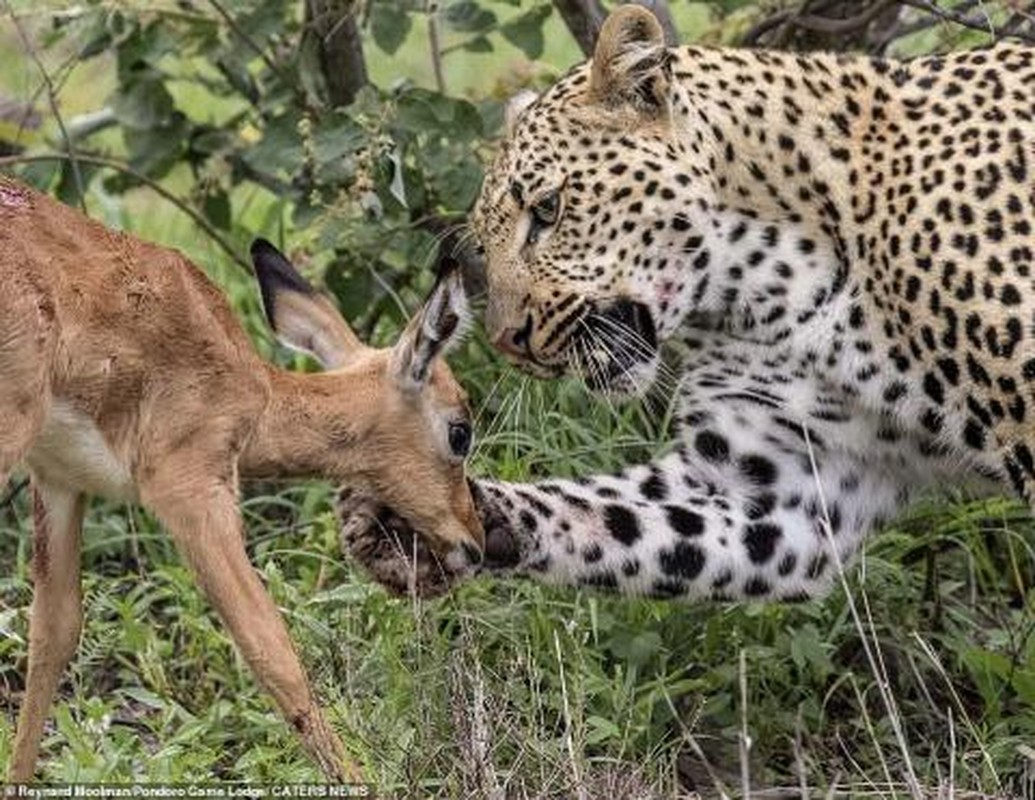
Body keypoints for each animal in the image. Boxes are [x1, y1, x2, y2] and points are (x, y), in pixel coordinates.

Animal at [341, 3, 1035, 604]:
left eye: (548, 209)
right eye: (484, 243)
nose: (508, 341)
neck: (774, 291)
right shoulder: (775, 485)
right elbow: (605, 516)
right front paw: (411, 518)